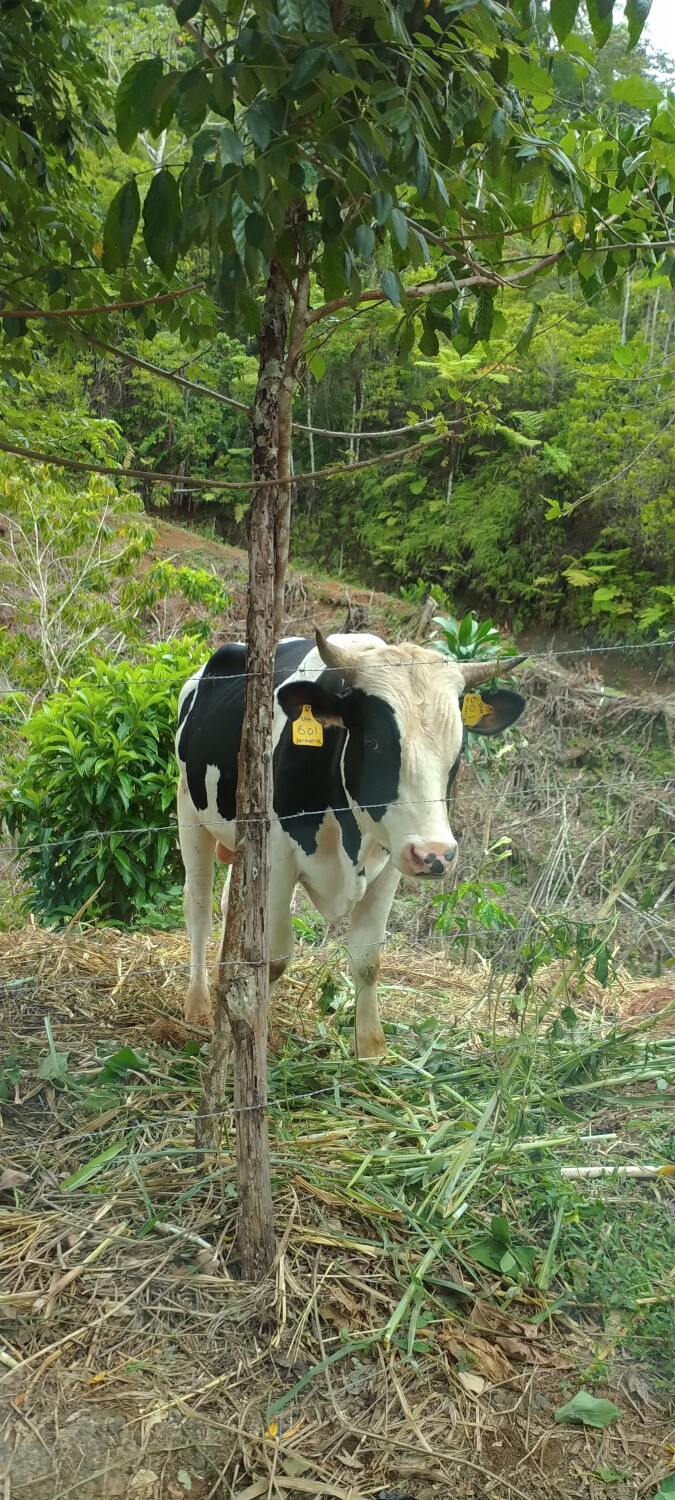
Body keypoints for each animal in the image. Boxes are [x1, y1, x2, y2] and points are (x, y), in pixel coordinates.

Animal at [175, 631, 526, 1059]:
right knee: (199, 907)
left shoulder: (391, 863)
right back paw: (198, 1003)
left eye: (457, 750)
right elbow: (274, 956)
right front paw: (255, 1033)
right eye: (372, 741)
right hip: (190, 810)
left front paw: (371, 1047)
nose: (435, 855)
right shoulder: (277, 856)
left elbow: (367, 956)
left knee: (231, 906)